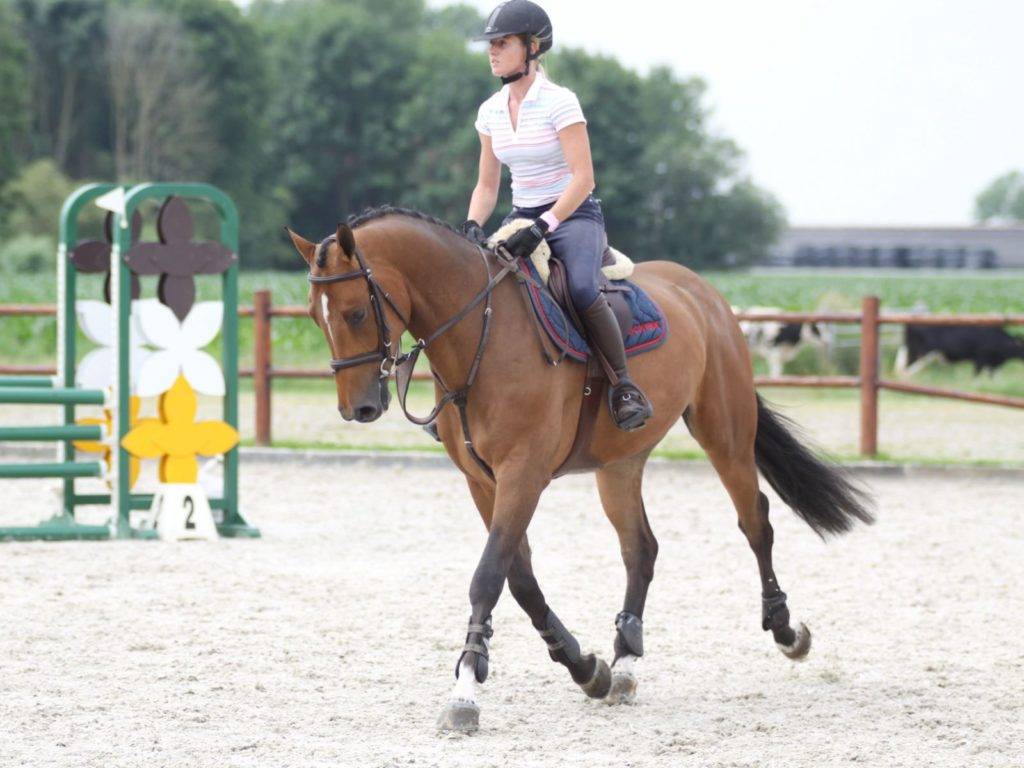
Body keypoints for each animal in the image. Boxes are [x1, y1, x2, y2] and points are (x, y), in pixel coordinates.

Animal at [287, 207, 874, 733]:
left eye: (355, 312)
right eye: (316, 317)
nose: (358, 408)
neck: (481, 333)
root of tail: (702, 292)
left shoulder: (523, 473)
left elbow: (488, 576)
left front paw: (465, 692)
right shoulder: (483, 481)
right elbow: (520, 581)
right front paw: (585, 667)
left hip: (724, 434)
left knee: (755, 521)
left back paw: (785, 630)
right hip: (619, 464)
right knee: (641, 548)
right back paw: (625, 663)